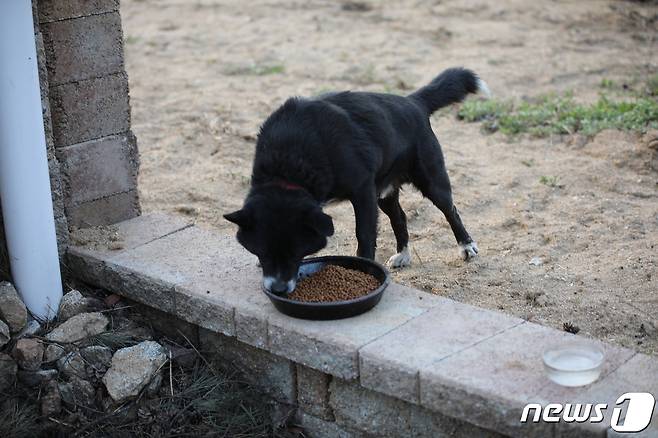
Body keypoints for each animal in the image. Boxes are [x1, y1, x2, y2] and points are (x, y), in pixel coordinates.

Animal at [226, 67, 486, 294]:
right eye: (263, 252)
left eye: (294, 252)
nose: (278, 290)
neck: (288, 165)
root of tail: (414, 102)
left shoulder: (362, 191)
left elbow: (364, 234)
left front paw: (363, 269)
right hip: (384, 192)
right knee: (400, 217)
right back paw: (403, 254)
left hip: (430, 179)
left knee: (450, 210)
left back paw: (466, 245)